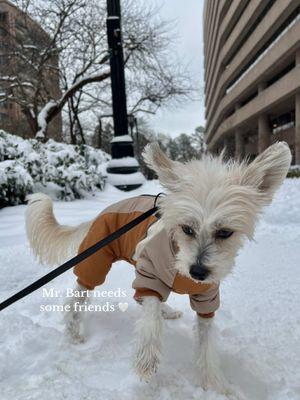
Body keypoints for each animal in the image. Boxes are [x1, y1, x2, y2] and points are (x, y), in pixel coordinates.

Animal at [25, 141, 290, 396]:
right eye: (187, 229)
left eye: (225, 232)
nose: (197, 272)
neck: (180, 259)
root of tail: (102, 212)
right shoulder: (149, 274)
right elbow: (150, 316)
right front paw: (147, 358)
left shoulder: (207, 297)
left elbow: (206, 343)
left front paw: (215, 383)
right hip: (96, 261)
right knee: (76, 298)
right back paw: (73, 333)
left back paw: (167, 311)